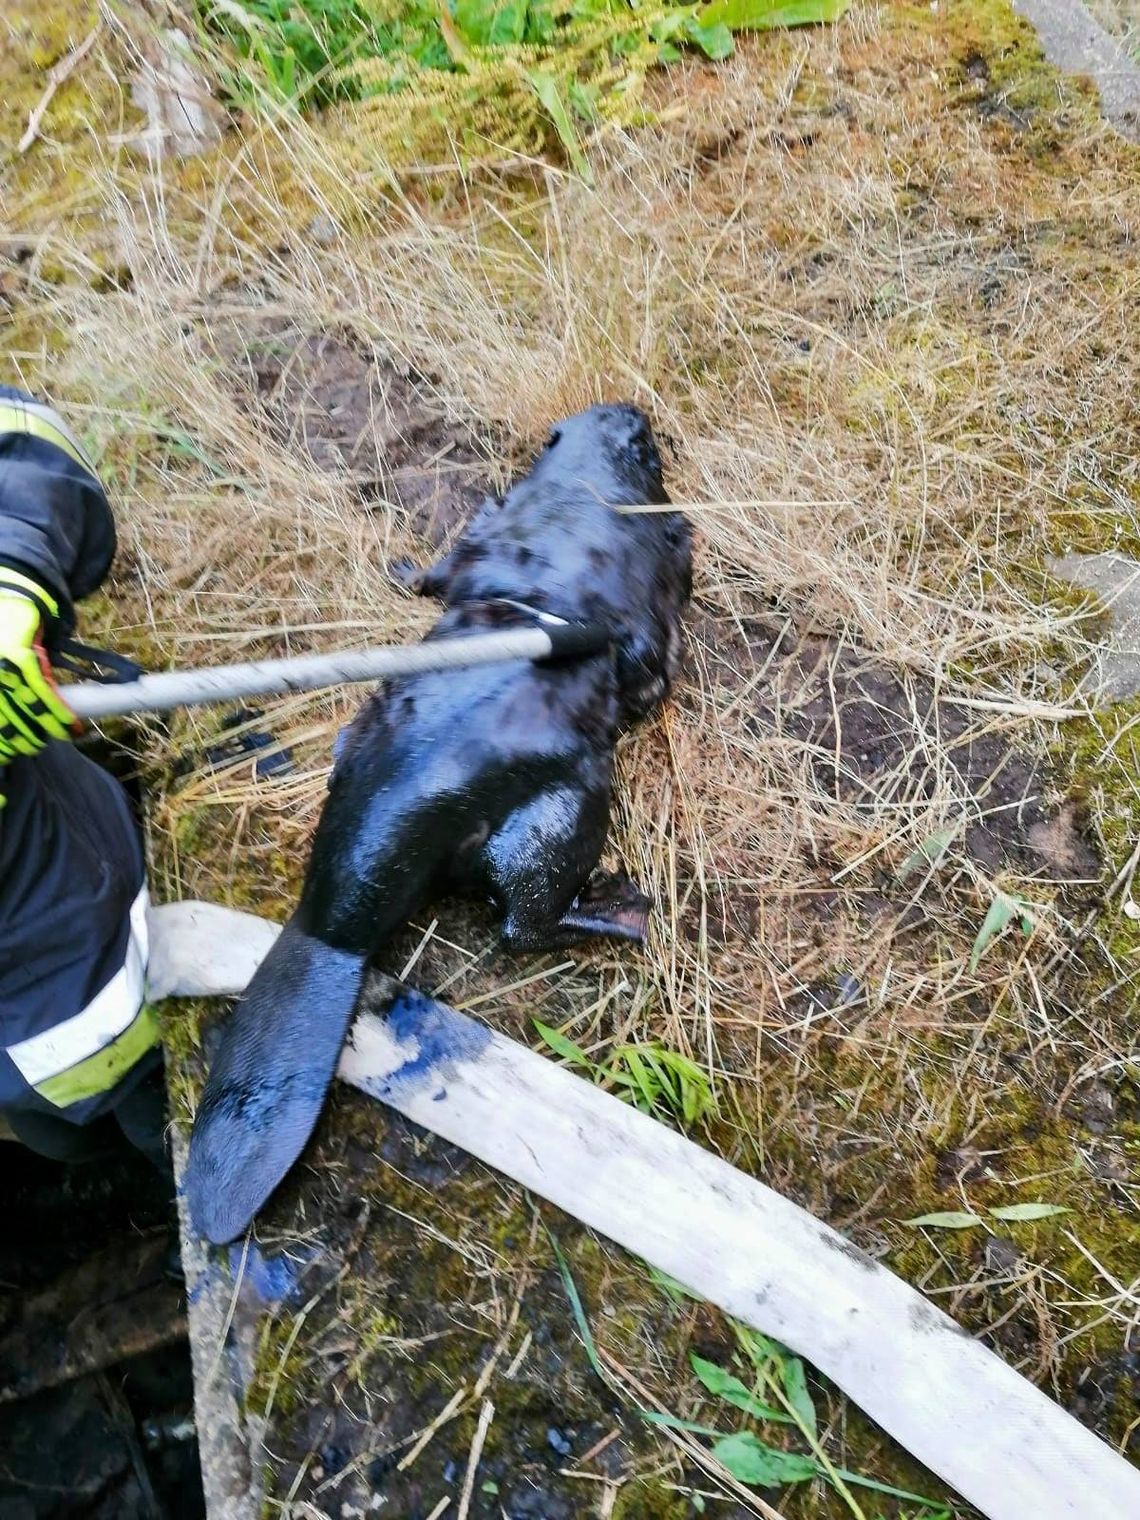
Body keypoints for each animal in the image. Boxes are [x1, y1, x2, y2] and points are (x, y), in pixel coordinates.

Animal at [185, 407, 696, 1246]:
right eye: (644, 448)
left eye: (590, 429)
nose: (629, 412)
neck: (583, 492)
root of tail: (329, 934)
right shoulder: (651, 579)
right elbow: (655, 665)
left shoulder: (488, 523)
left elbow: (439, 570)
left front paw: (400, 565)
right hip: (565, 813)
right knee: (522, 925)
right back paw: (623, 909)